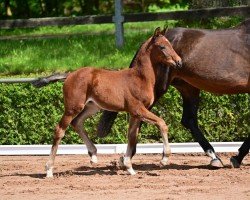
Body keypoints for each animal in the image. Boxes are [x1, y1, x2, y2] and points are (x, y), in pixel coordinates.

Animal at [33, 27, 182, 177]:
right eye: (162, 46)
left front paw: (129, 167)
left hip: (92, 107)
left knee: (77, 122)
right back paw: (49, 170)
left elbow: (132, 136)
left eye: (171, 45)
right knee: (59, 130)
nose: (179, 62)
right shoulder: (137, 109)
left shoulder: (135, 114)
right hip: (72, 108)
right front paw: (164, 159)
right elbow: (162, 123)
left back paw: (93, 155)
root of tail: (69, 75)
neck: (140, 78)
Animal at [97, 19, 250, 169]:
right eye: (163, 47)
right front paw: (237, 158)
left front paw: (237, 157)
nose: (179, 61)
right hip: (159, 90)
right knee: (140, 117)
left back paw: (214, 158)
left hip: (188, 88)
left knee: (188, 120)